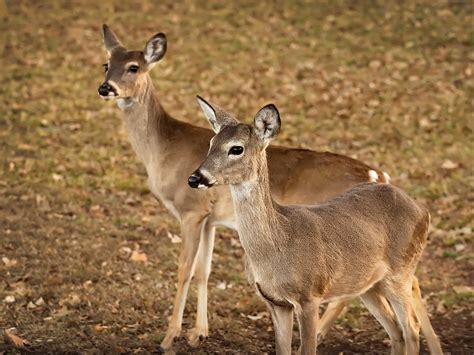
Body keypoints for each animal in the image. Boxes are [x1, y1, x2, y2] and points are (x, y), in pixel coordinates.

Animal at [98, 25, 398, 350]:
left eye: (134, 67)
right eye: (106, 64)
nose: (106, 88)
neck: (162, 148)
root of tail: (377, 174)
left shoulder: (191, 210)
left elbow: (183, 271)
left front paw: (169, 337)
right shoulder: (210, 219)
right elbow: (204, 271)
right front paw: (198, 332)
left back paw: (318, 332)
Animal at [188, 98, 440, 355]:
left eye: (236, 148)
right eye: (211, 143)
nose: (195, 178)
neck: (277, 246)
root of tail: (423, 210)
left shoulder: (310, 296)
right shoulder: (276, 303)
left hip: (401, 271)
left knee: (411, 329)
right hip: (368, 284)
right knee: (396, 331)